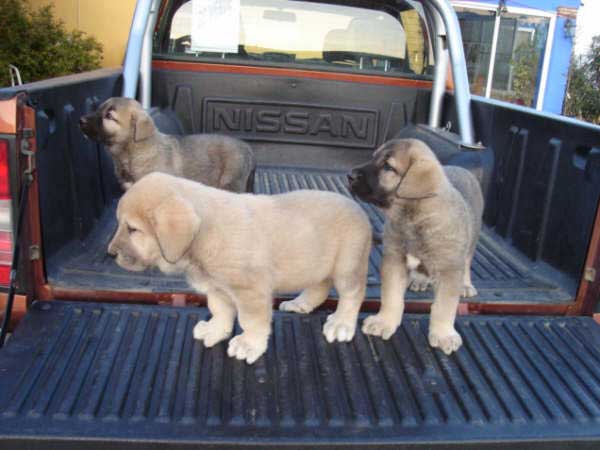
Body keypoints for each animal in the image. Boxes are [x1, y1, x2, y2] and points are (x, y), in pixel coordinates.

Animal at [78, 96, 254, 192]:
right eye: (98, 109)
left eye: (109, 116)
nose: (81, 120)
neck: (132, 153)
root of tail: (248, 148)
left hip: (230, 182)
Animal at [107, 171, 370, 362]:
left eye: (133, 229)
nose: (110, 253)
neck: (204, 234)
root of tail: (358, 209)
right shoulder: (217, 289)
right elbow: (220, 312)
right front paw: (215, 330)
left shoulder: (251, 292)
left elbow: (251, 321)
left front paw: (249, 344)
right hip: (317, 264)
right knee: (319, 287)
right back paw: (300, 303)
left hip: (348, 266)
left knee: (353, 294)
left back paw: (342, 323)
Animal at [350, 137, 486, 356]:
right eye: (373, 158)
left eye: (388, 167)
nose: (350, 175)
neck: (413, 215)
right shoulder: (394, 260)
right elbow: (391, 295)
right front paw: (384, 321)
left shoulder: (449, 270)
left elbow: (444, 306)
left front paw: (443, 334)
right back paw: (420, 281)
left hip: (471, 240)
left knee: (466, 263)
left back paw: (465, 285)